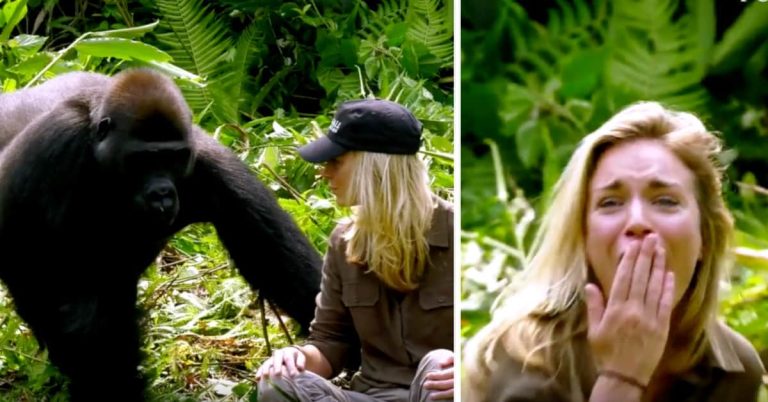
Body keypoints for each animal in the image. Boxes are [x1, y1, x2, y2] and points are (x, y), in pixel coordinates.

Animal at [0, 69, 322, 401]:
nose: (162, 194)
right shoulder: (57, 148)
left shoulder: (208, 161)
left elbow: (274, 257)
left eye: (172, 158)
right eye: (142, 160)